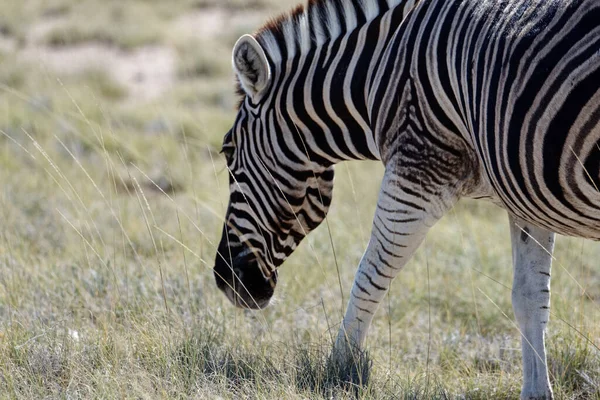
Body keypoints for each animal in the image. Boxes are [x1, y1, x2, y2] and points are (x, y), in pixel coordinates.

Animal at [212, 0, 600, 396]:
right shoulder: (524, 194)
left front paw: (337, 371)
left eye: (228, 151)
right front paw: (536, 392)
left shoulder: (420, 167)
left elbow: (370, 275)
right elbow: (530, 296)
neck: (379, 75)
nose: (226, 281)